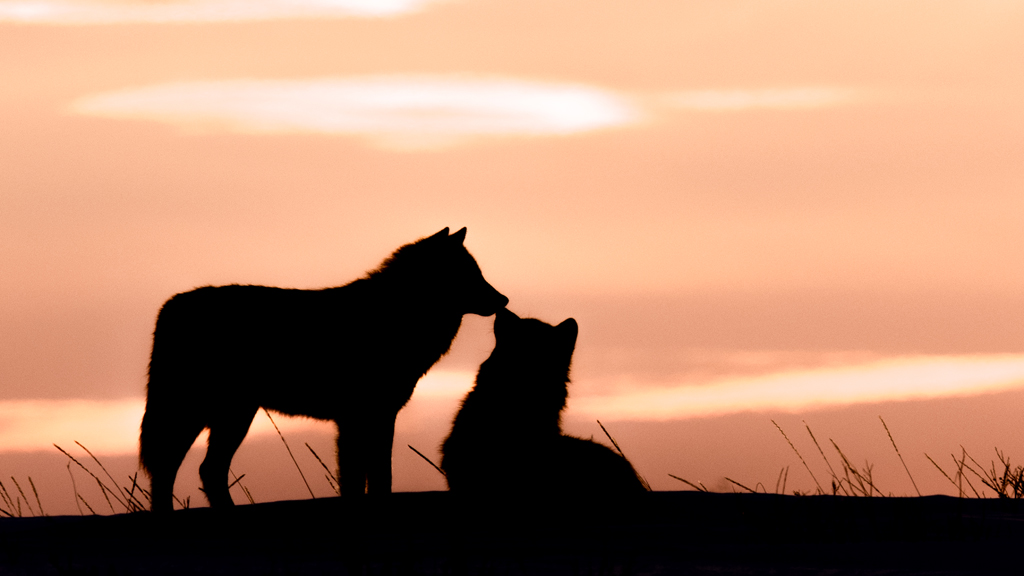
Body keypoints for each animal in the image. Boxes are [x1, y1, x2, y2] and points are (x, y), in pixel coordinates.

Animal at [140, 227, 508, 511]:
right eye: (470, 275)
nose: (503, 300)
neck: (397, 314)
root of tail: (170, 305)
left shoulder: (378, 417)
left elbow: (378, 477)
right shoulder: (357, 418)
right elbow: (358, 478)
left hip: (232, 416)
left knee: (206, 470)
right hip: (200, 413)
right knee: (169, 466)